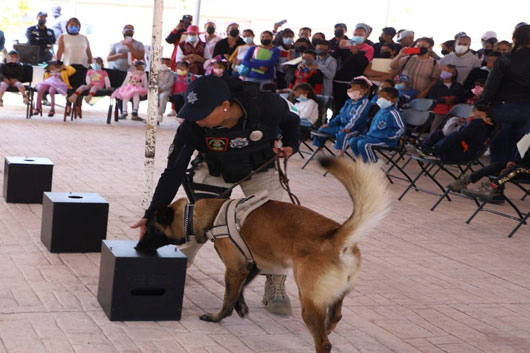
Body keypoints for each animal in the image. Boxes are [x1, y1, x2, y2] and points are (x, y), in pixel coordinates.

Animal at [134, 157, 390, 352]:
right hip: (334, 297)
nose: (137, 248)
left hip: (309, 300)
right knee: (335, 318)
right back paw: (328, 327)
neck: (207, 213)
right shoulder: (249, 266)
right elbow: (238, 293)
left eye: (152, 229)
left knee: (324, 343)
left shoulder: (234, 268)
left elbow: (227, 298)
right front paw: (241, 308)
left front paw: (217, 317)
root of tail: (337, 237)